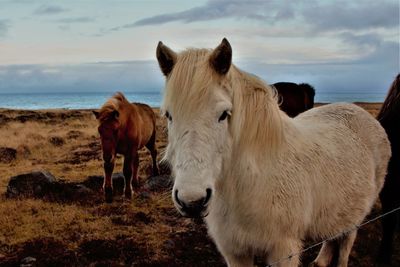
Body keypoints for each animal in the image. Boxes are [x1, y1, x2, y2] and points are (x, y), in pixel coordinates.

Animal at [155, 38, 390, 267]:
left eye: (223, 114)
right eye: (169, 115)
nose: (191, 201)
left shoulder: (283, 250)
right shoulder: (235, 252)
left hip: (358, 215)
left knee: (345, 243)